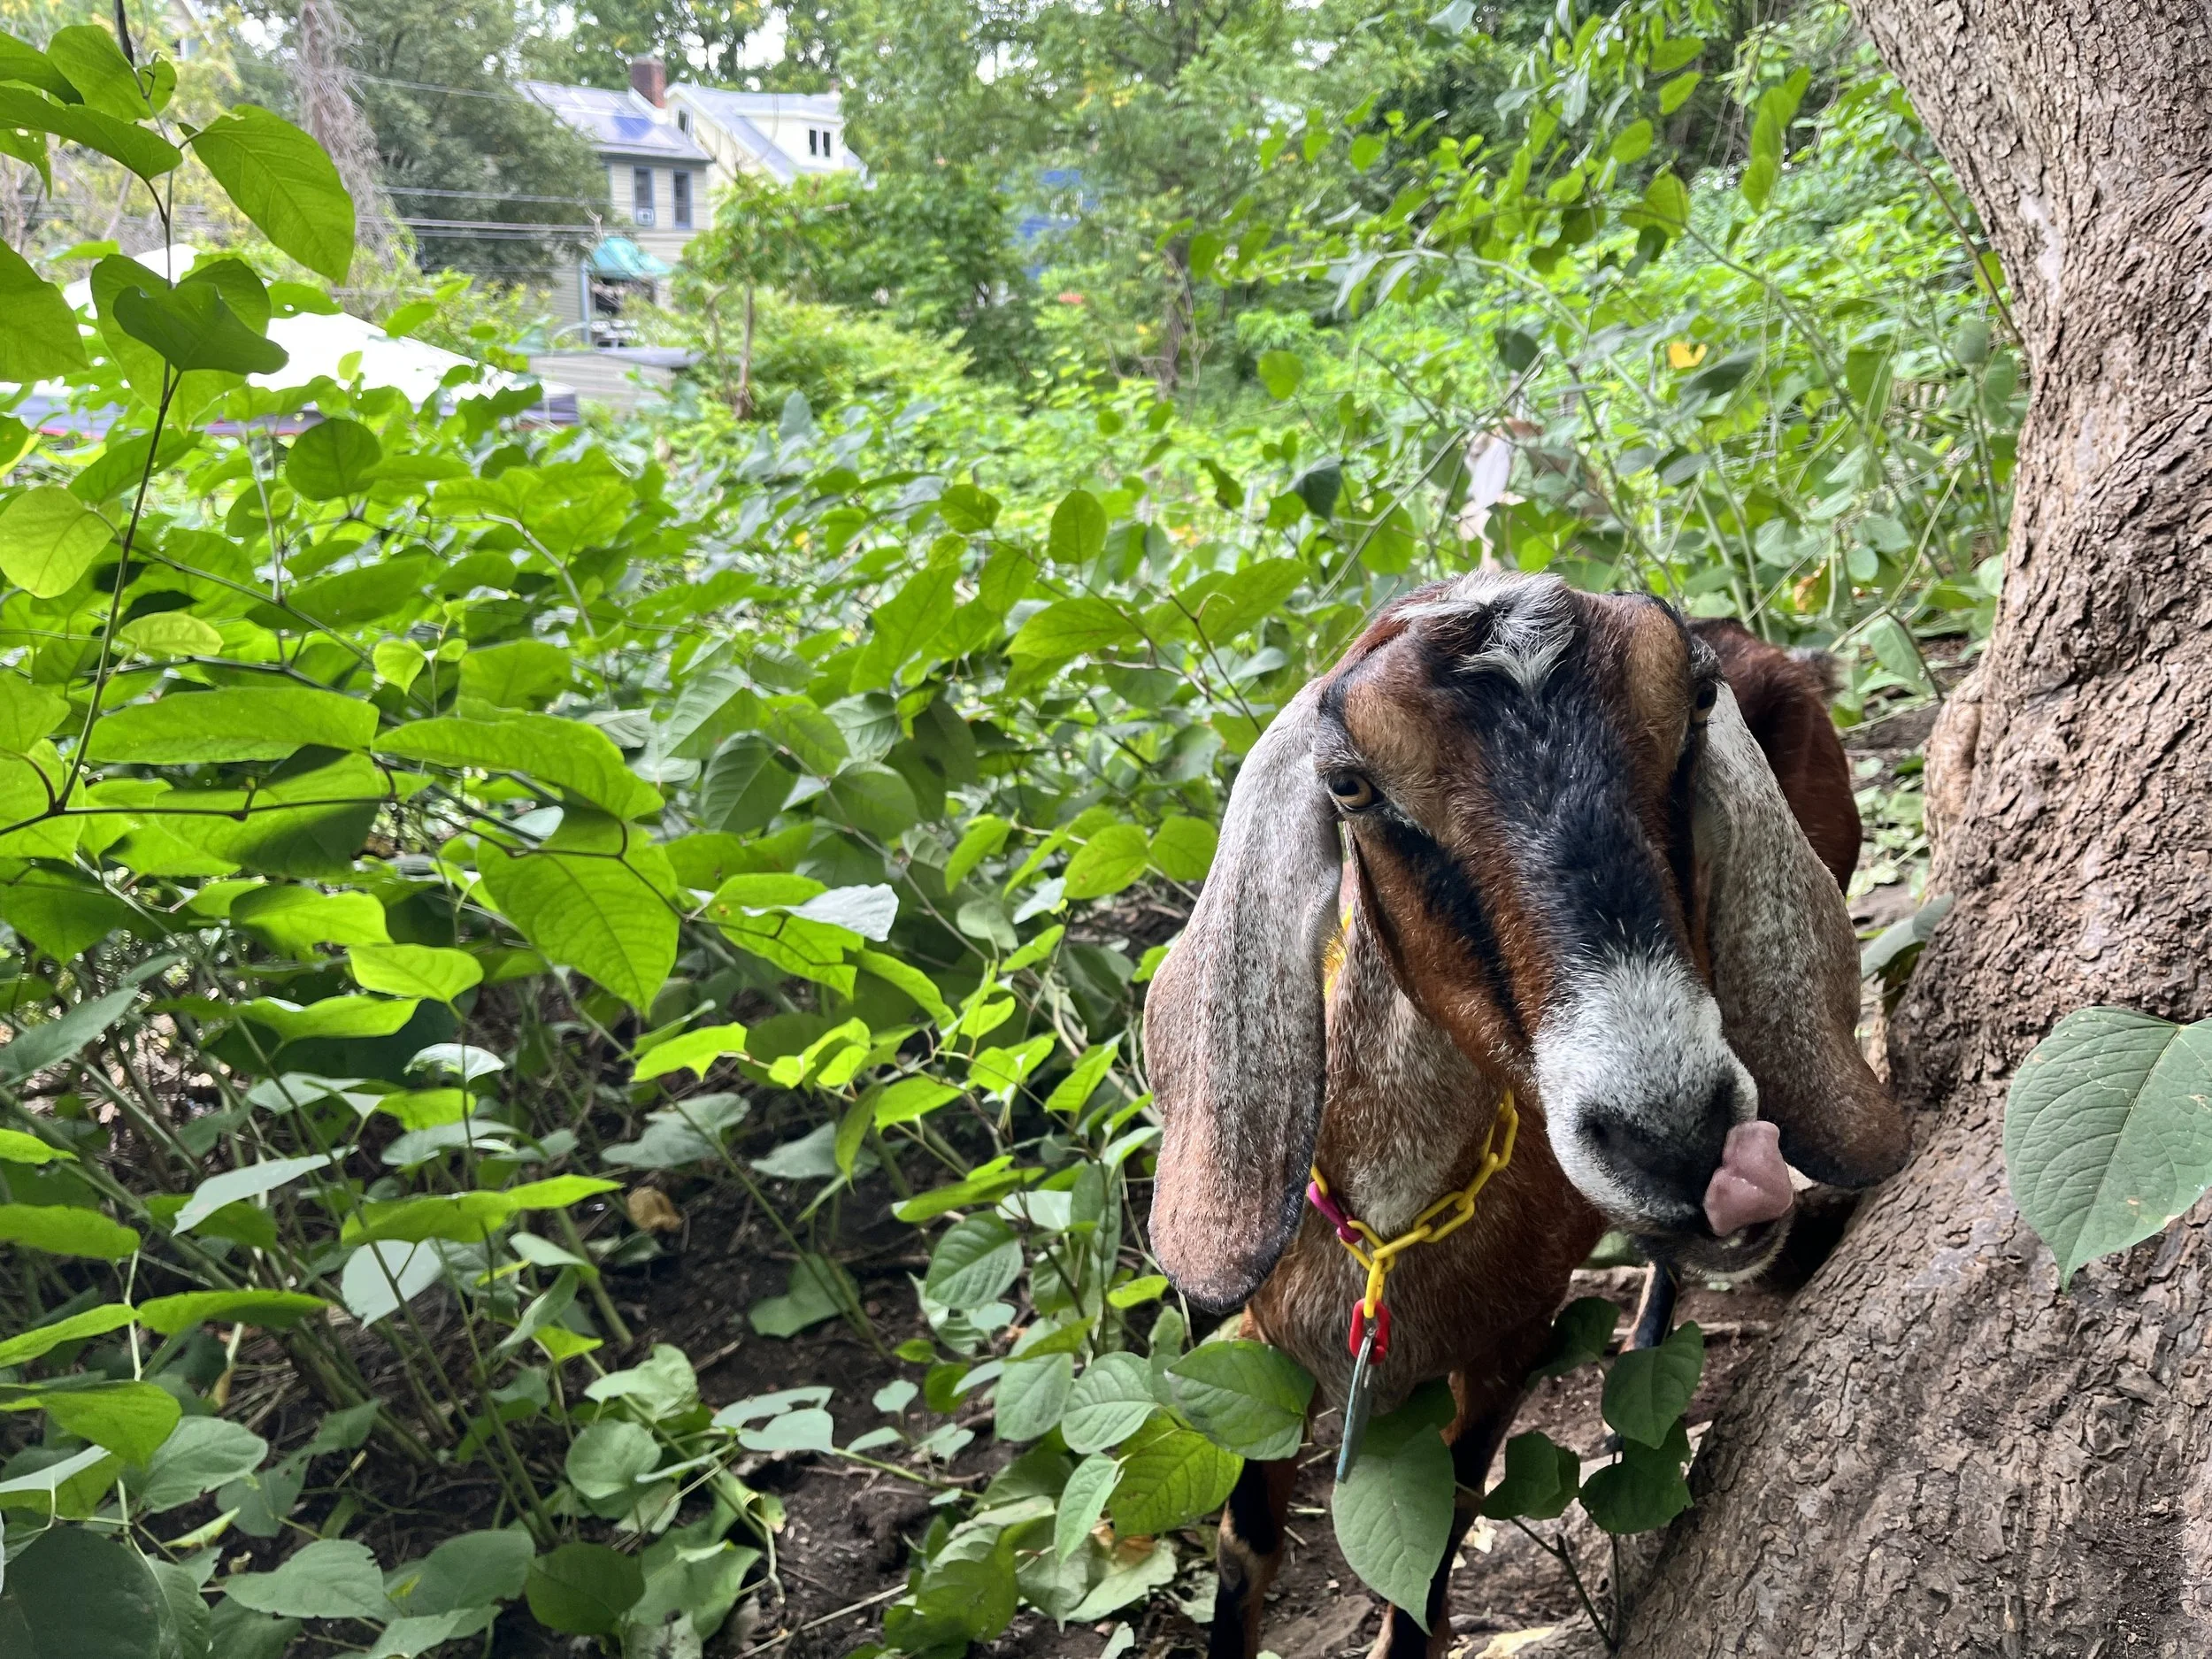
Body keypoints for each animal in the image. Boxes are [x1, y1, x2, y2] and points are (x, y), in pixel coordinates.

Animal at [1143, 572, 1906, 1658]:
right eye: (1350, 785)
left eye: (1694, 706)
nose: (1683, 1140)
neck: (1393, 1239)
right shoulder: (1261, 1359)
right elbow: (1245, 1553)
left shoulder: (1509, 1354)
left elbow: (1436, 1550)